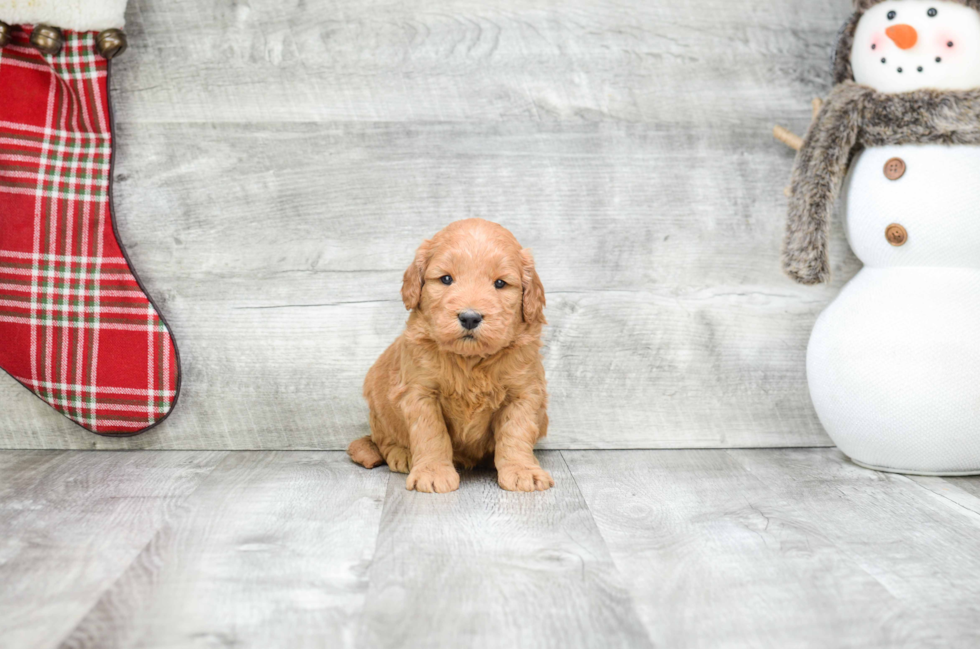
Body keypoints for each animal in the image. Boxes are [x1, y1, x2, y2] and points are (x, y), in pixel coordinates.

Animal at [348, 218, 556, 492]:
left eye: (500, 283)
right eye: (446, 279)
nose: (469, 317)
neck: (470, 360)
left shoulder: (524, 393)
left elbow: (516, 432)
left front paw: (522, 469)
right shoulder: (420, 392)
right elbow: (431, 434)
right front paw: (432, 472)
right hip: (378, 403)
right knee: (383, 439)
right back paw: (402, 454)